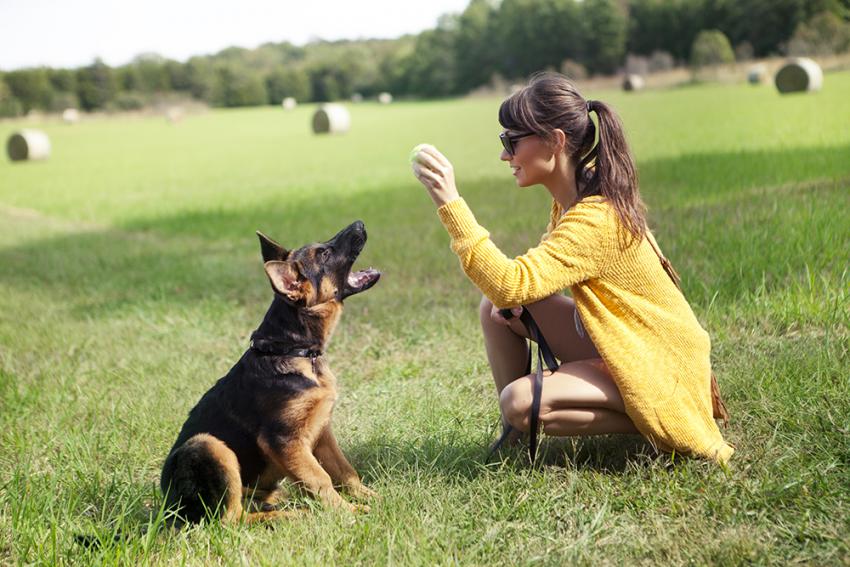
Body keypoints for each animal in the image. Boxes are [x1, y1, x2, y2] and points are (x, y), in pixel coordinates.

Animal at [161, 220, 380, 524]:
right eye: (324, 254)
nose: (359, 223)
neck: (292, 349)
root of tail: (169, 509)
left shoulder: (322, 432)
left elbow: (344, 471)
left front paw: (370, 497)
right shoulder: (283, 441)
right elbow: (320, 478)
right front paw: (346, 512)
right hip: (208, 446)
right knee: (232, 520)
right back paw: (293, 515)